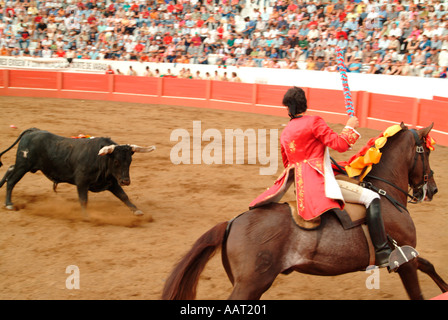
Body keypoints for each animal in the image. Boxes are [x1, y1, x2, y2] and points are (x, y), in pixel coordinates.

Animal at [0, 129, 156, 216]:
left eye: (129, 161)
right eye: (116, 161)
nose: (125, 181)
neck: (99, 159)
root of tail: (32, 131)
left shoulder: (111, 182)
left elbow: (123, 196)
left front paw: (136, 210)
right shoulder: (82, 183)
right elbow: (83, 200)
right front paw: (86, 216)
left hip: (24, 165)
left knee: (10, 169)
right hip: (23, 165)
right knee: (12, 180)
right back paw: (9, 204)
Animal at [163, 123, 446, 300]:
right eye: (426, 152)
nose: (432, 189)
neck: (386, 193)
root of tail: (233, 222)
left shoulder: (408, 254)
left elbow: (429, 264)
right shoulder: (404, 258)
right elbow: (417, 291)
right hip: (250, 285)